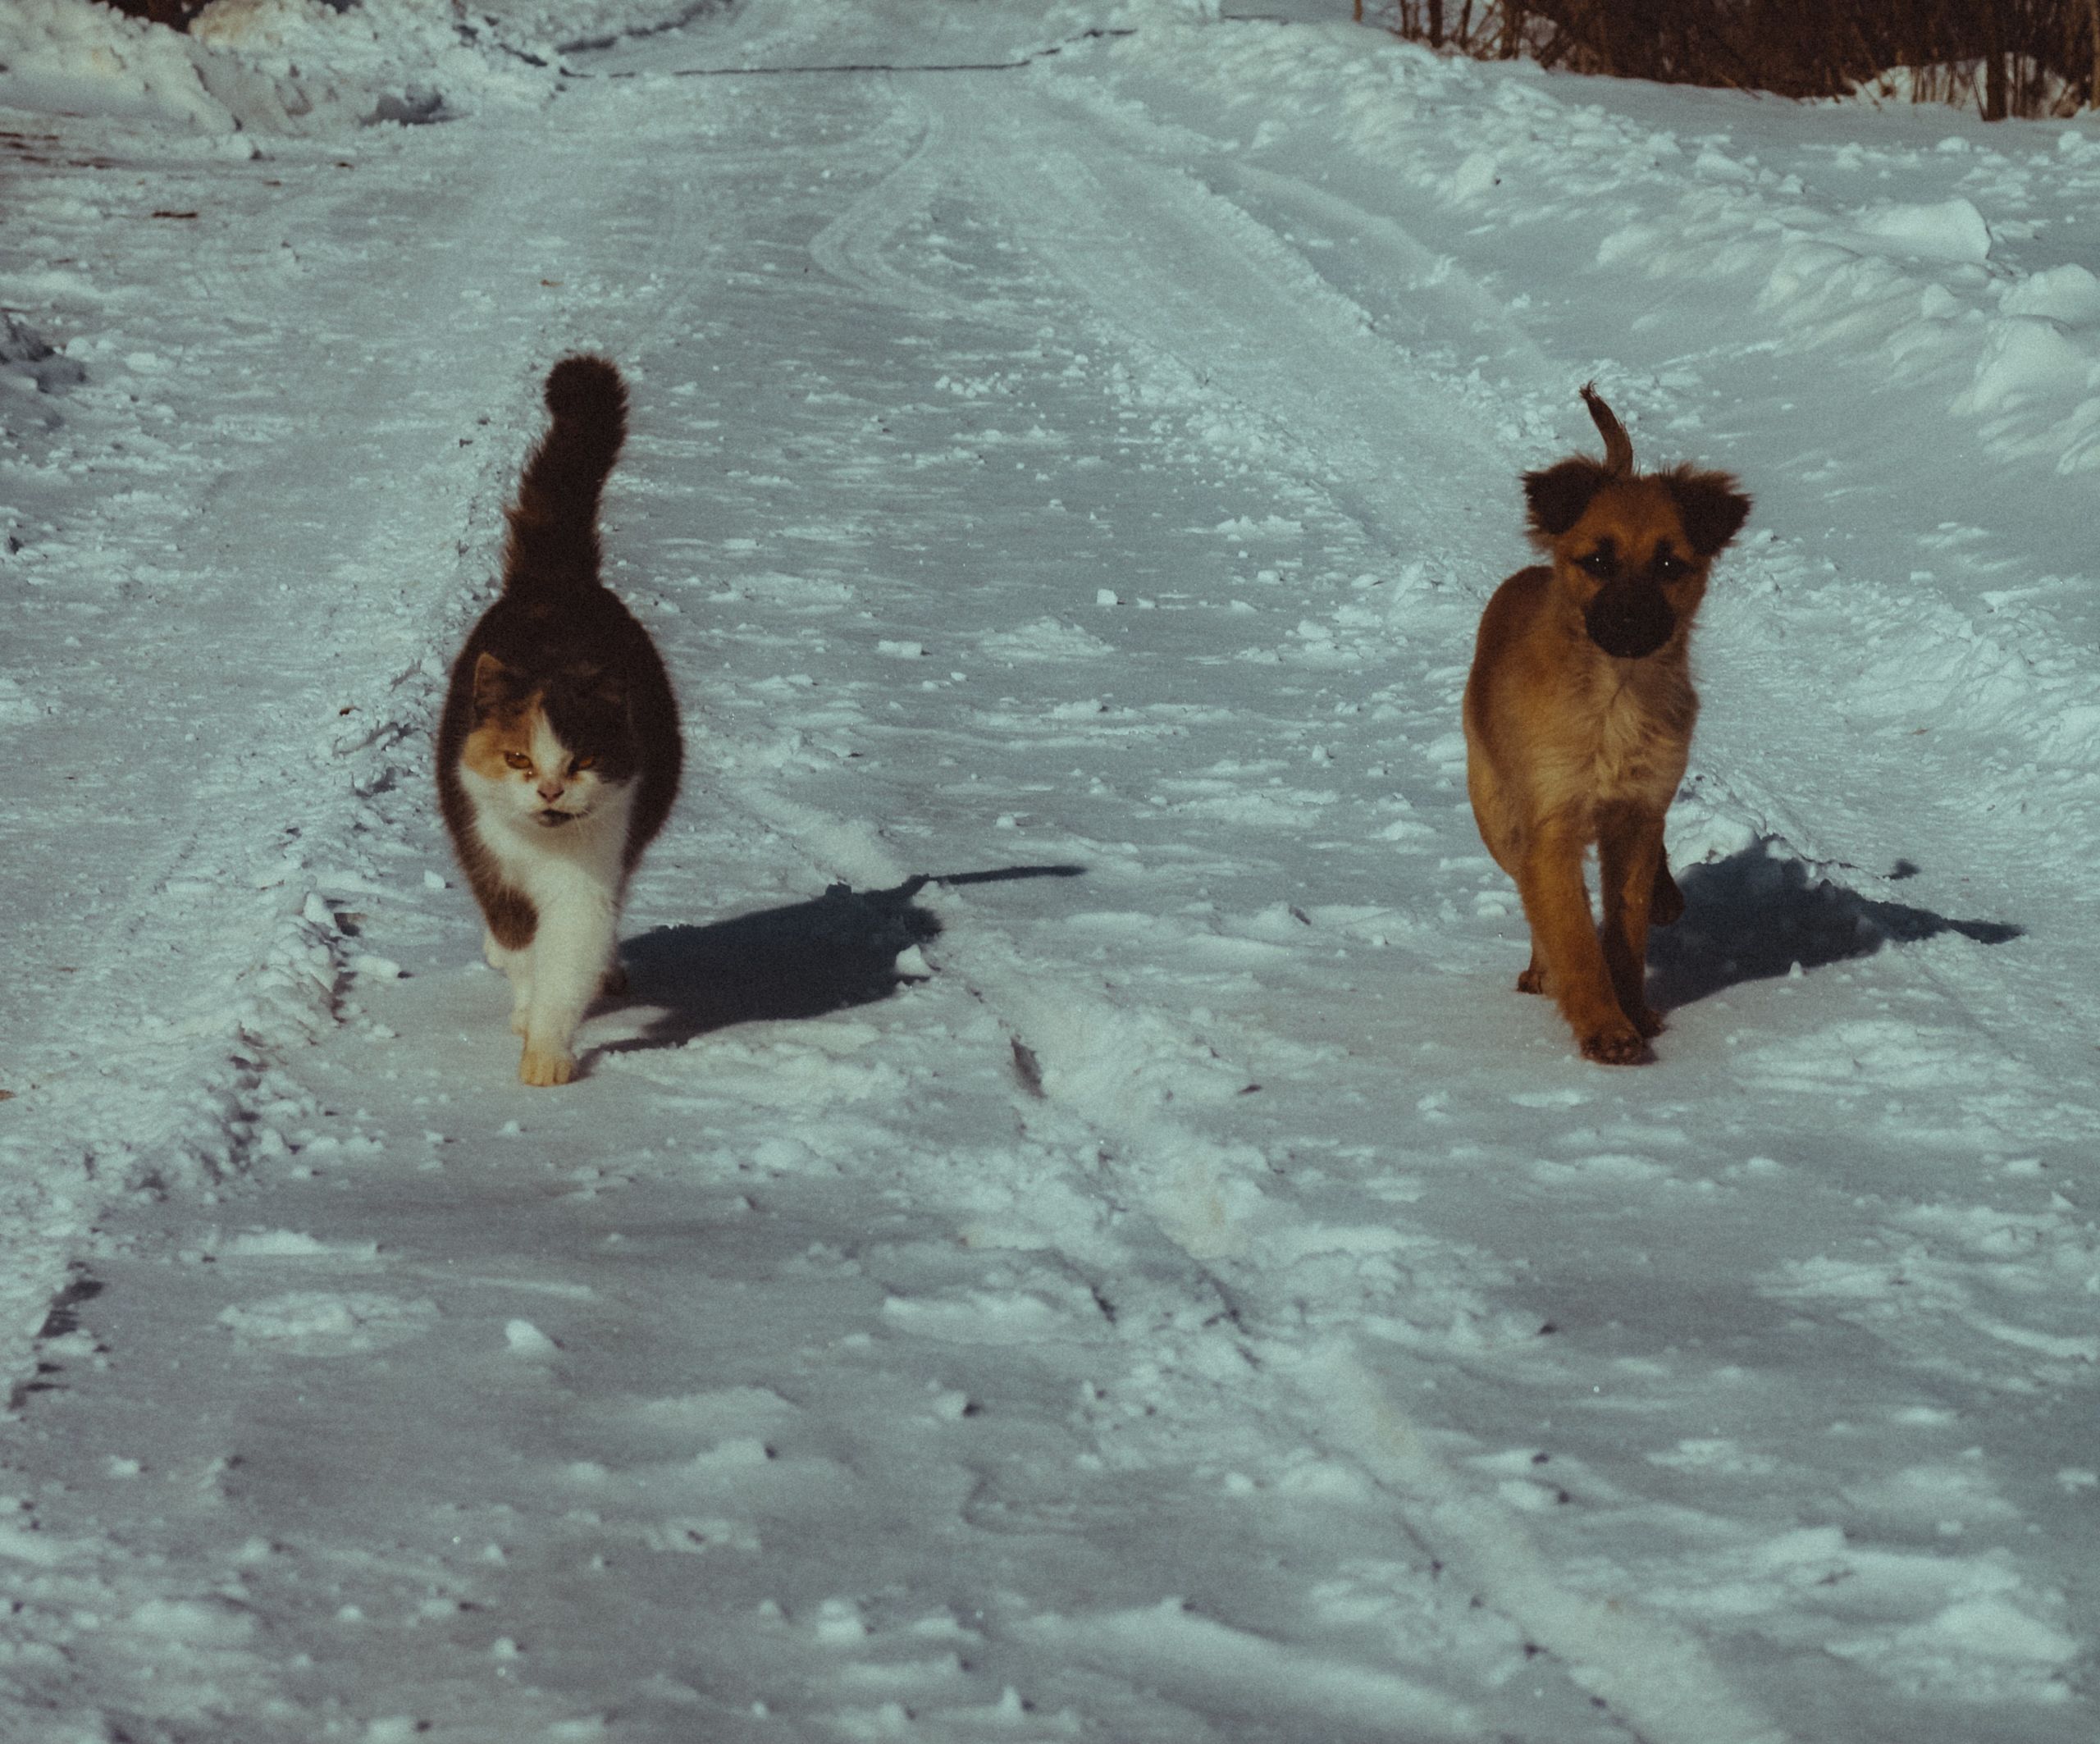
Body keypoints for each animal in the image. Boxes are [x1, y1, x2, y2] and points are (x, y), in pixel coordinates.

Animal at [434, 354, 680, 1084]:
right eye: (517, 757)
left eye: (584, 760)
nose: (549, 790)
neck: (539, 849)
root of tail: (556, 580)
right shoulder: (487, 858)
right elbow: (521, 946)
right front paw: (523, 1012)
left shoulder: (587, 875)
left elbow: (568, 954)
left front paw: (546, 1052)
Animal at [1461, 386, 1755, 1067]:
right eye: (1597, 560)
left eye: (1671, 565)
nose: (1628, 618)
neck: (1614, 701)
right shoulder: (1550, 827)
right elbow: (1572, 934)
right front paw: (1603, 1024)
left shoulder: (1637, 816)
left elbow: (1624, 929)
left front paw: (1632, 1008)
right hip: (1498, 818)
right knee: (1533, 901)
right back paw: (1543, 970)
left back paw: (1668, 897)